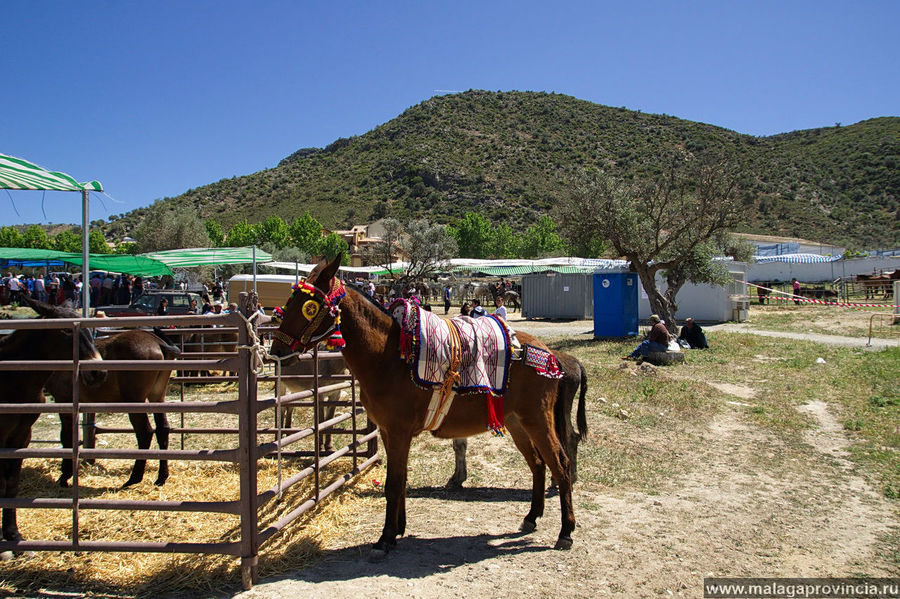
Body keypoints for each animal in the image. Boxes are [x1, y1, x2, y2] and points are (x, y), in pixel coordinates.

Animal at [44, 330, 180, 490]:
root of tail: (158, 342)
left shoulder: (63, 399)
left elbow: (66, 437)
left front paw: (64, 476)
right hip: (157, 396)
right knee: (162, 430)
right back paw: (161, 477)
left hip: (134, 400)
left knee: (144, 432)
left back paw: (134, 478)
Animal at [268, 256, 576, 556]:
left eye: (308, 306)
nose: (276, 351)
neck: (387, 356)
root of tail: (548, 353)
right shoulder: (388, 432)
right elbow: (400, 479)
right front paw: (398, 529)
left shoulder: (399, 432)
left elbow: (393, 484)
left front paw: (386, 537)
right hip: (516, 422)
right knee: (538, 464)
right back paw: (531, 517)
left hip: (537, 419)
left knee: (560, 464)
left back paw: (566, 531)